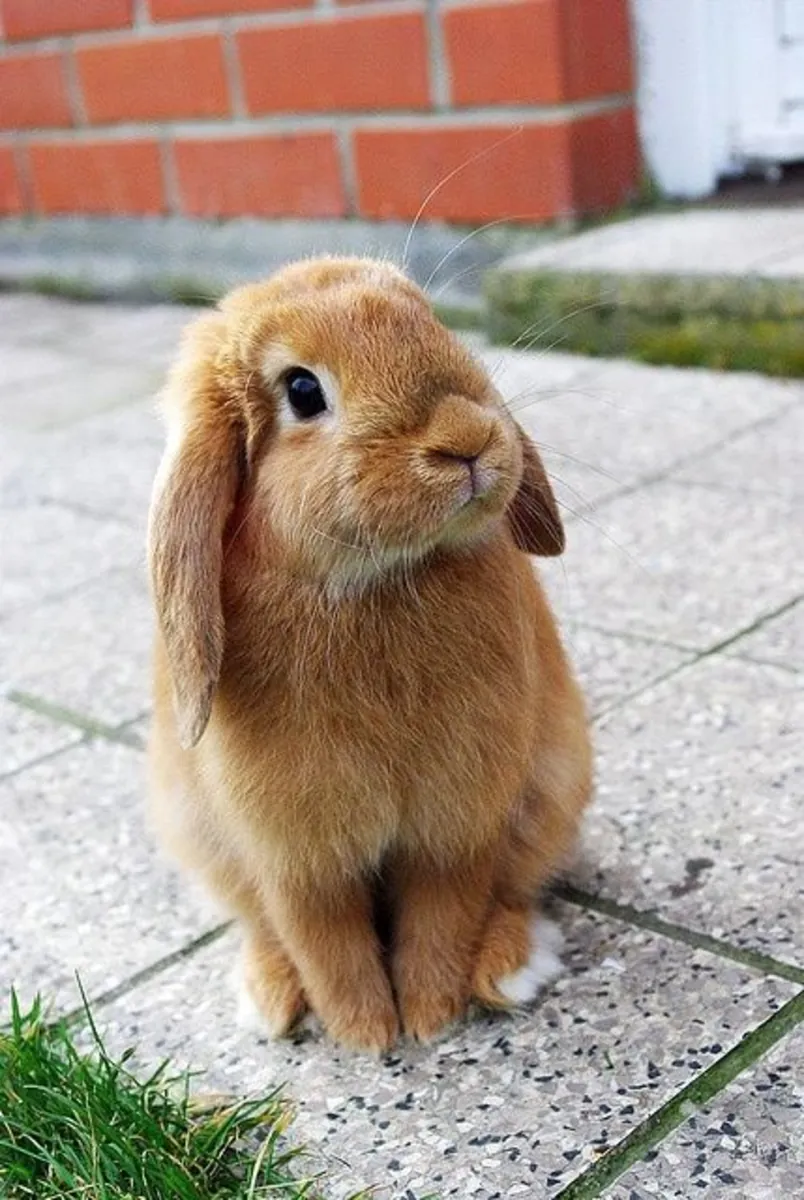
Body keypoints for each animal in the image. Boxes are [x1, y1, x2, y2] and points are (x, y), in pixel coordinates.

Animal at [147, 256, 592, 1053]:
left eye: (432, 324)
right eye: (301, 390)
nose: (467, 438)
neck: (379, 583)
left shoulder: (457, 826)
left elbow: (443, 915)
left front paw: (430, 1019)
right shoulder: (296, 858)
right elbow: (324, 940)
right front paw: (365, 1033)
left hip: (551, 793)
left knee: (511, 893)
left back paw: (510, 969)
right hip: (203, 840)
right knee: (264, 929)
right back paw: (270, 998)